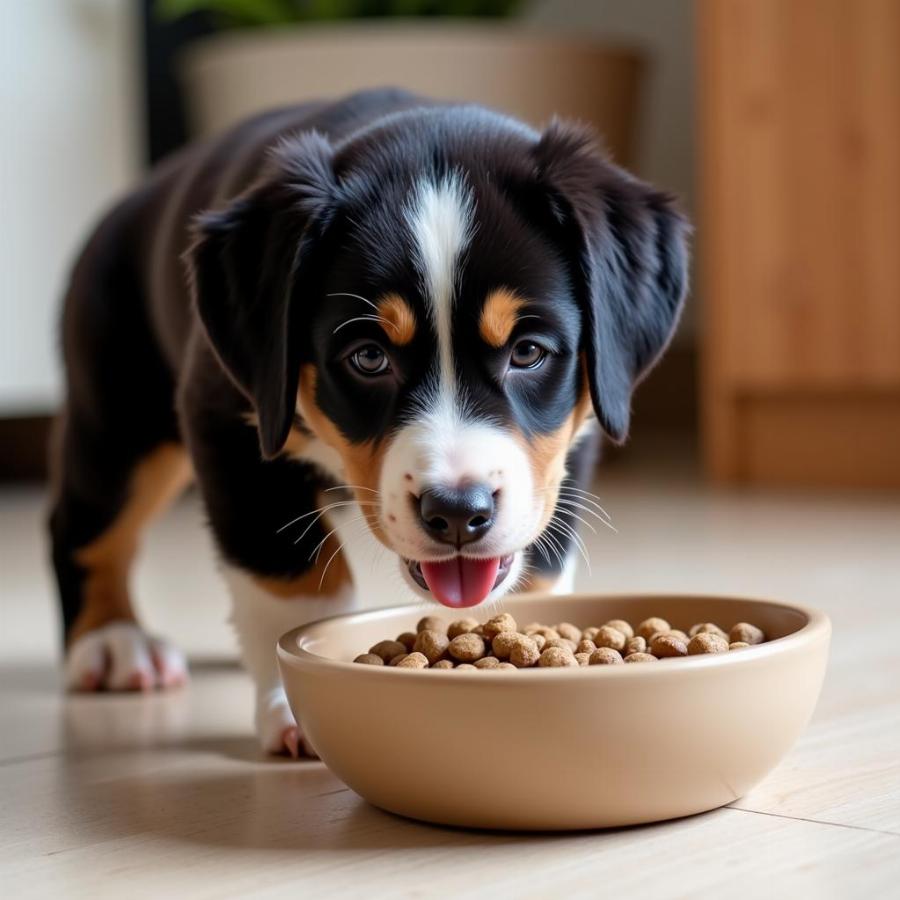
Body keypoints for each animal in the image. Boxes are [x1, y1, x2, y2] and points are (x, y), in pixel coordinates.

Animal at [47, 89, 688, 752]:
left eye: (528, 352)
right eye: (369, 358)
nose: (457, 512)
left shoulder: (571, 445)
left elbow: (539, 558)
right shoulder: (226, 419)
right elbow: (289, 579)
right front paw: (295, 704)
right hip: (119, 420)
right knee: (84, 527)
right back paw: (114, 642)